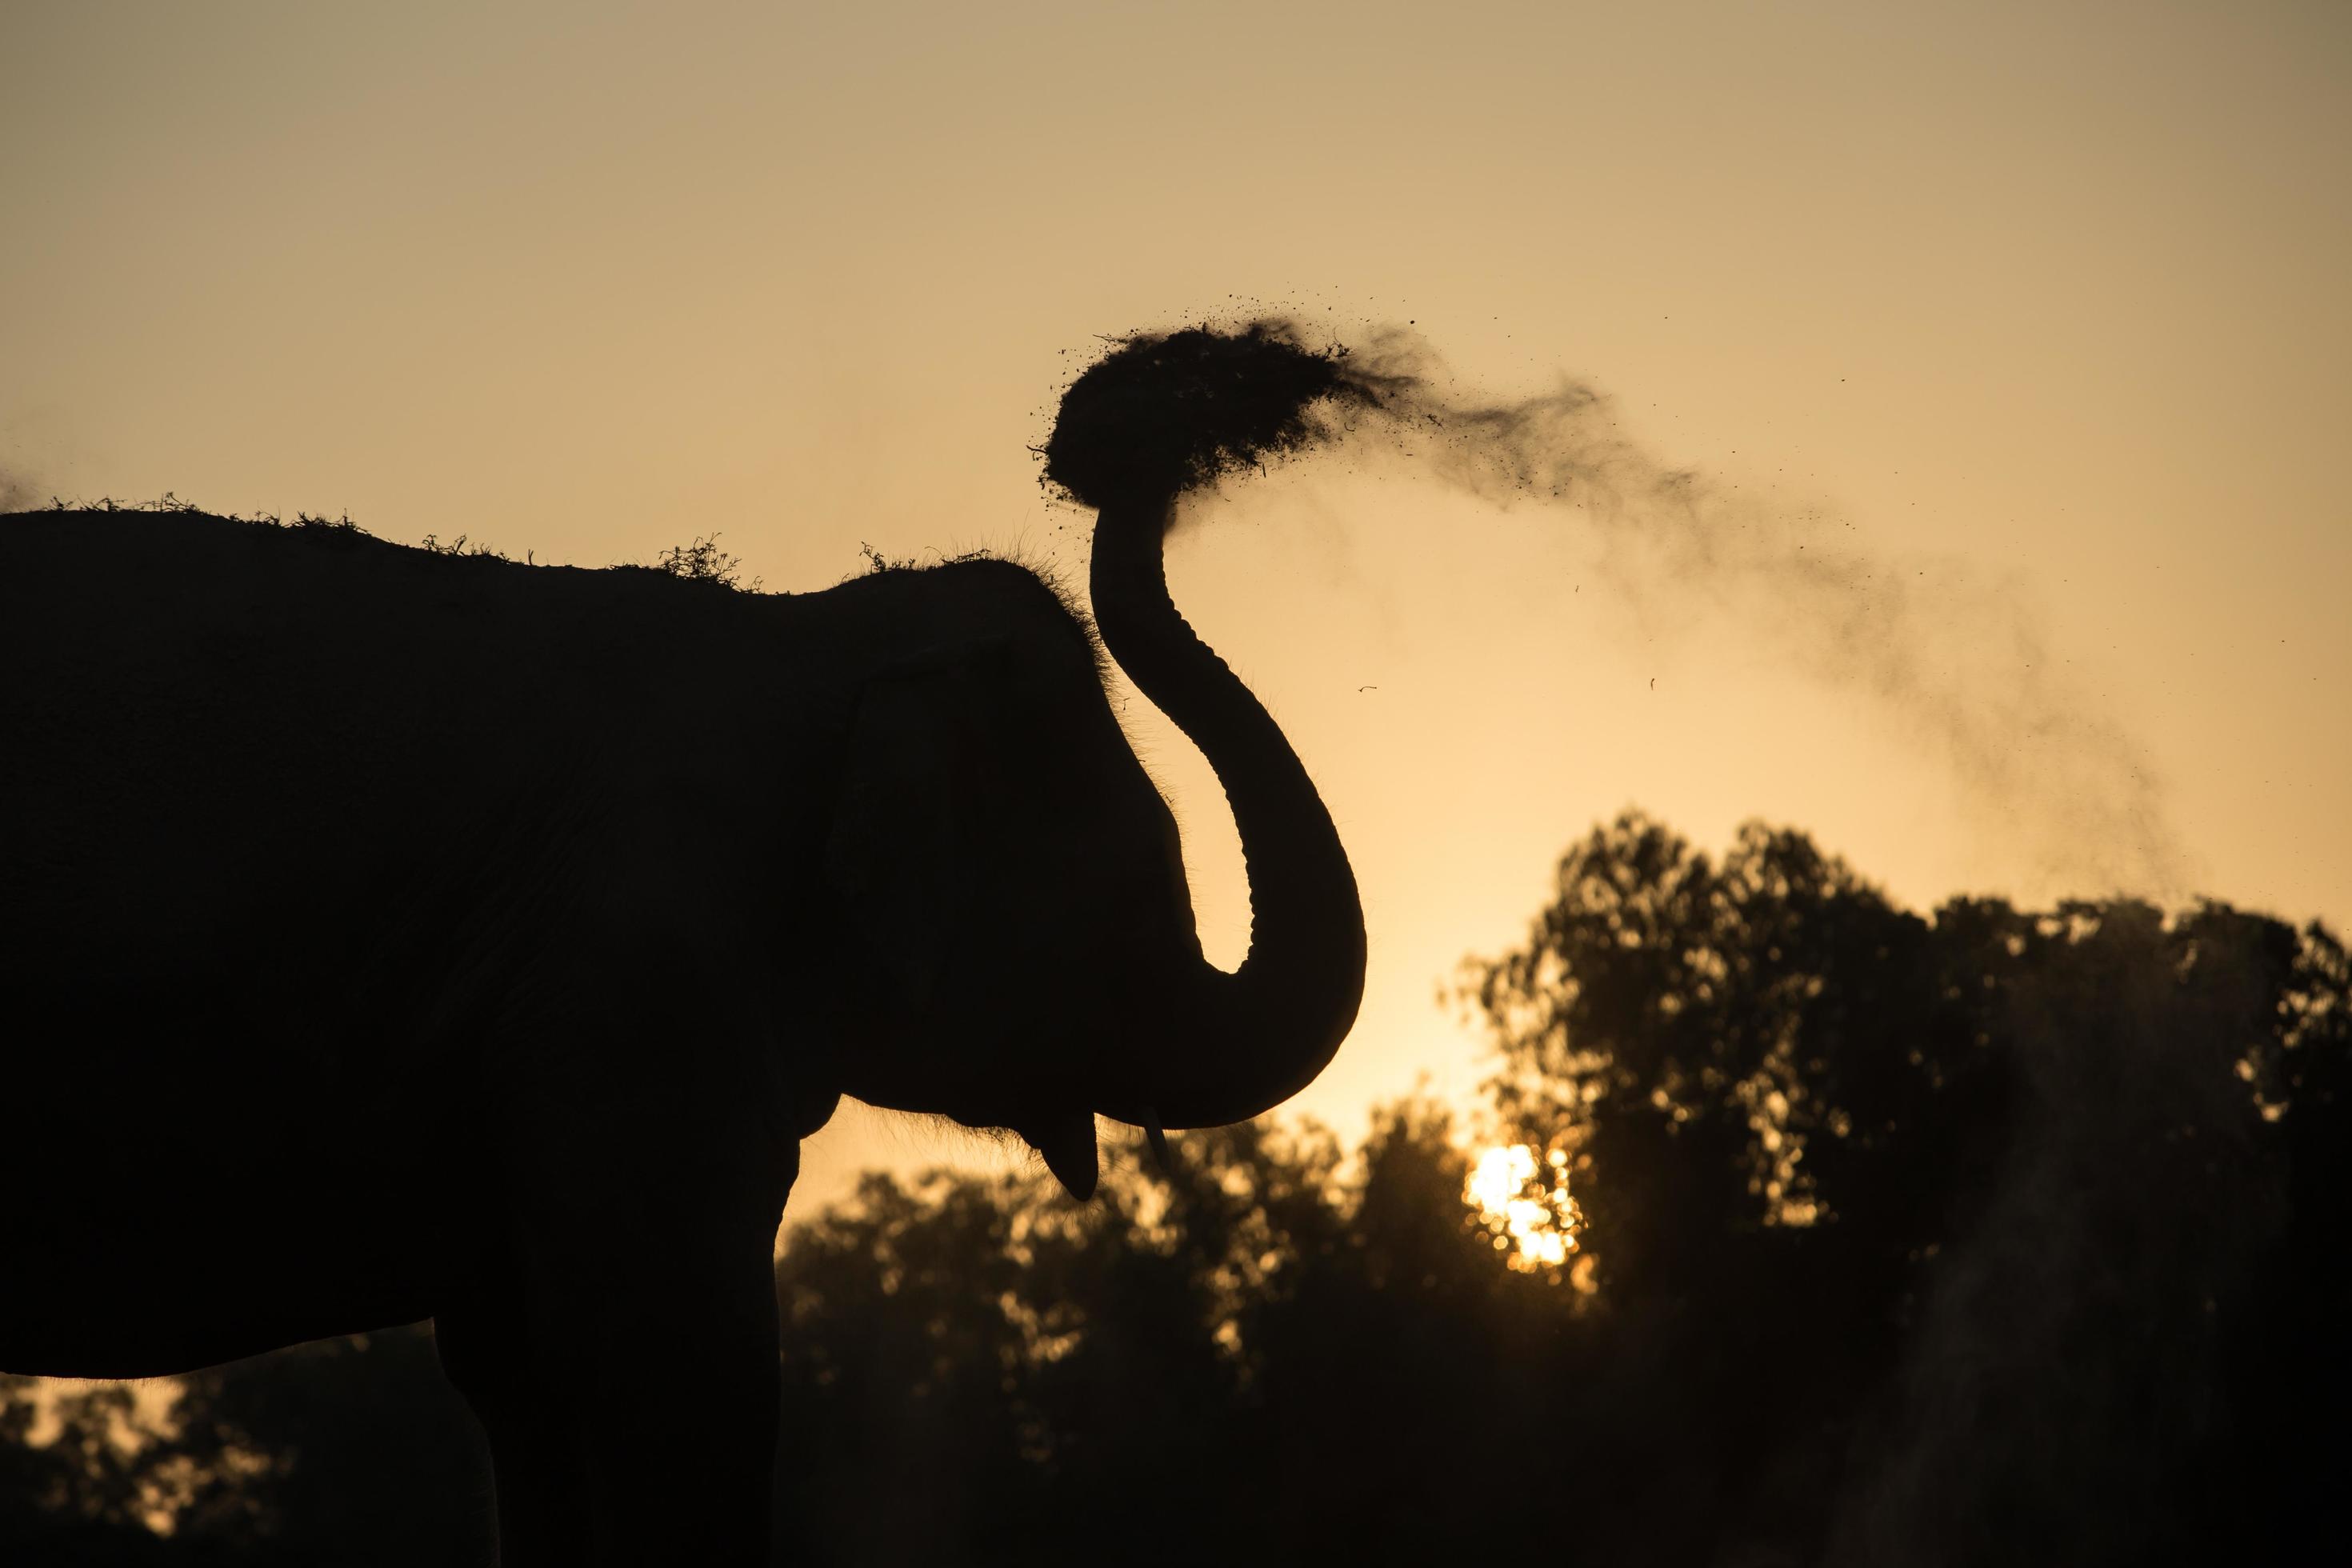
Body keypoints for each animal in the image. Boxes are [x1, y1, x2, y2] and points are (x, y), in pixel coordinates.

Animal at [0, 454, 1373, 1561]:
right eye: (1142, 880)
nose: (1132, 447)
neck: (808, 637)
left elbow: (522, 1374)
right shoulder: (632, 996)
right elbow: (686, 1368)